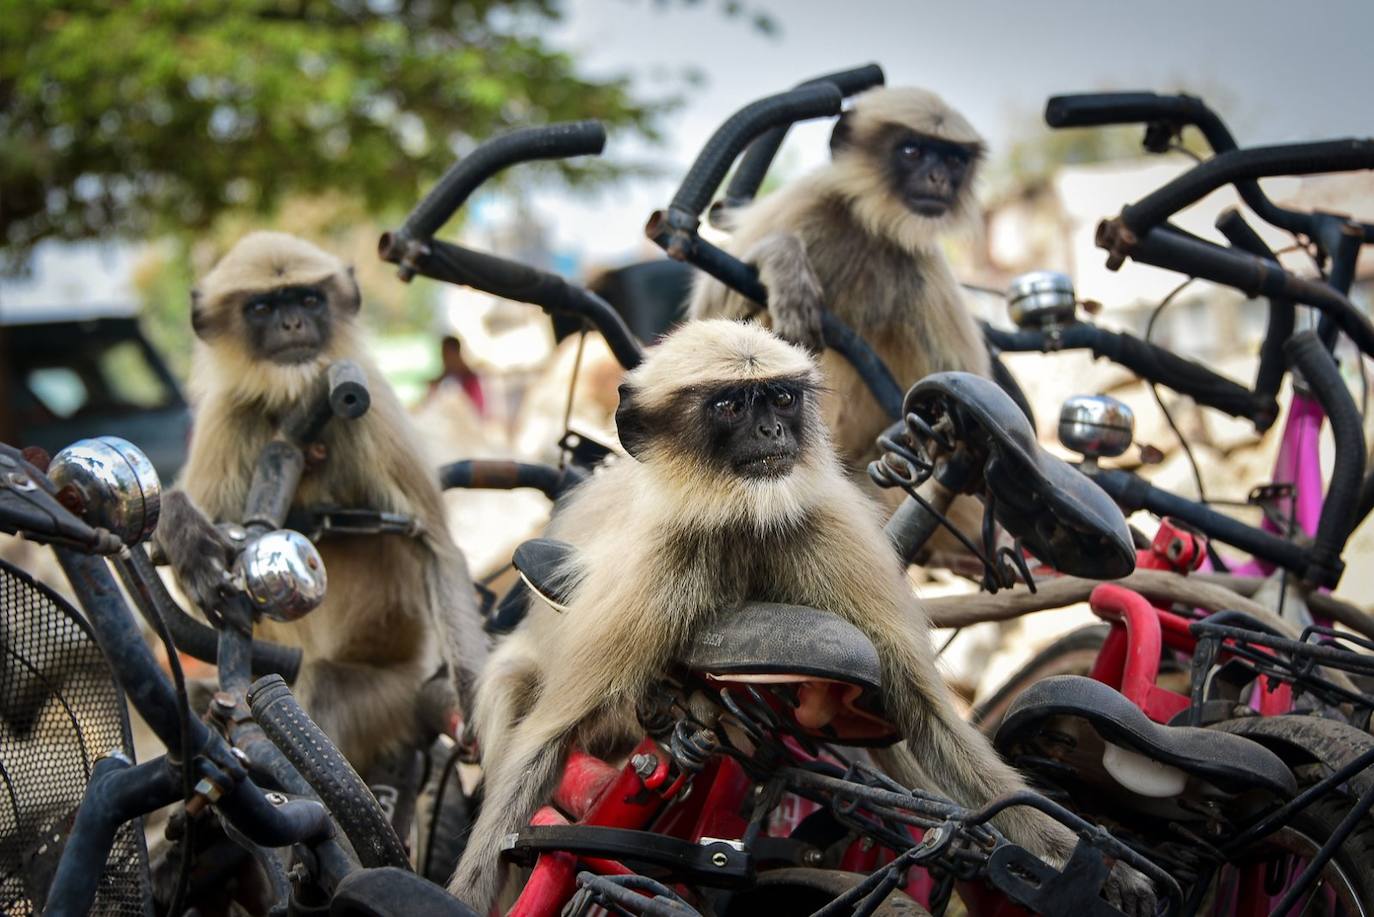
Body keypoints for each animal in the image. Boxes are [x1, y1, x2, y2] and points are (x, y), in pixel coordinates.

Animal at [156, 230, 486, 775]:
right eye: (263, 307)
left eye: (309, 299)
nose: (293, 323)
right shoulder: (228, 414)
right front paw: (182, 531)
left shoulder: (372, 406)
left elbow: (434, 546)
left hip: (390, 699)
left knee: (324, 687)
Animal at [447, 323, 1148, 917]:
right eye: (732, 407)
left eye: (780, 399)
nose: (771, 434)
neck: (739, 517)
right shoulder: (657, 563)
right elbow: (546, 742)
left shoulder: (827, 533)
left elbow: (927, 715)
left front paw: (1092, 863)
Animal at [692, 86, 994, 486]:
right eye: (911, 151)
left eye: (954, 160)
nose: (938, 178)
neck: (870, 224)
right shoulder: (805, 203)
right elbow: (702, 324)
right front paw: (782, 258)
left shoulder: (924, 267)